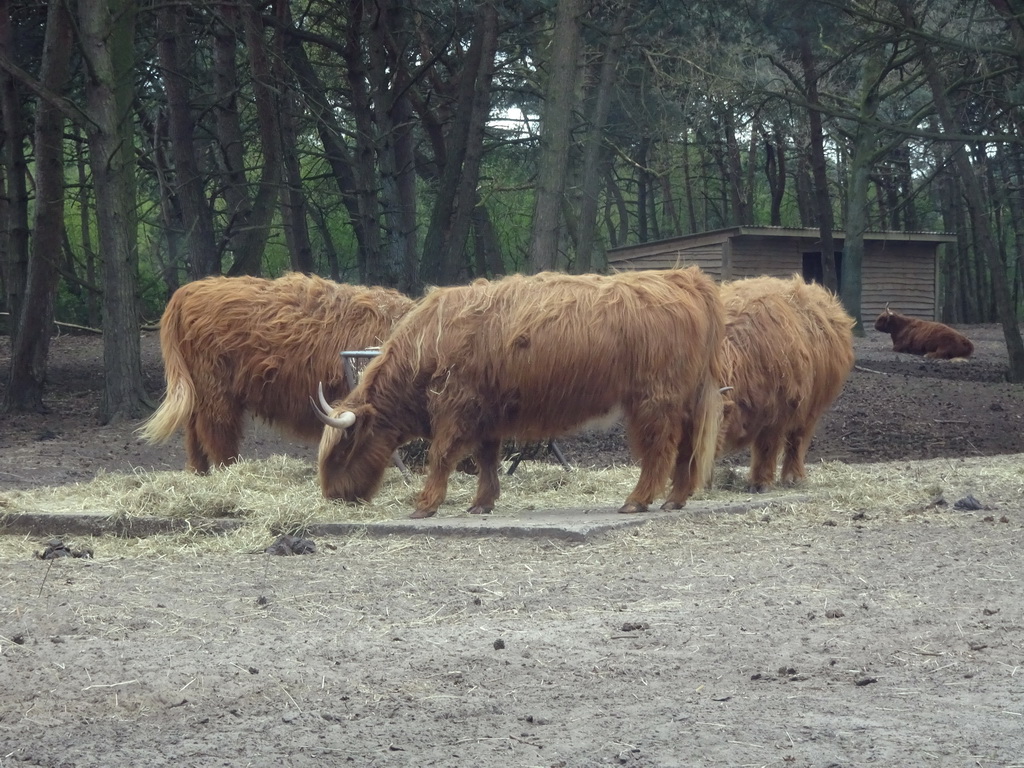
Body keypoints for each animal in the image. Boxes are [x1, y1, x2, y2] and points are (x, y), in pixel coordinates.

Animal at [138, 270, 413, 475]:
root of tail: (188, 290)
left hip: (199, 389)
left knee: (194, 431)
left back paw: (199, 472)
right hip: (216, 388)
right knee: (216, 430)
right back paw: (231, 470)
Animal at [313, 268, 729, 520]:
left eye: (341, 451)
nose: (332, 495)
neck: (424, 346)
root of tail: (682, 276)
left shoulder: (455, 405)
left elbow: (442, 455)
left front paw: (425, 505)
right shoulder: (486, 414)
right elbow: (486, 458)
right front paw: (481, 503)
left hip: (654, 400)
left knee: (661, 446)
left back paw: (637, 500)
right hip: (686, 398)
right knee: (688, 445)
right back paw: (675, 499)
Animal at [712, 276, 856, 493]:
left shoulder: (777, 413)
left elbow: (767, 447)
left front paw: (761, 482)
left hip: (809, 408)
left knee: (796, 441)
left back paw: (793, 477)